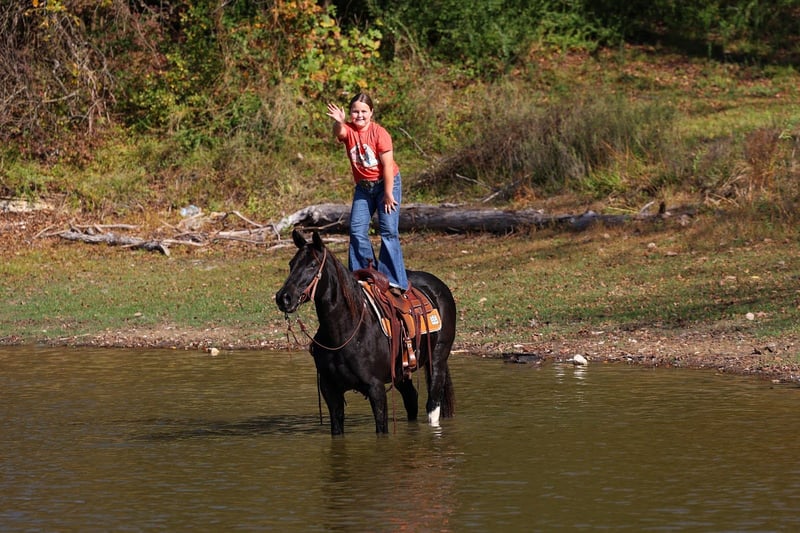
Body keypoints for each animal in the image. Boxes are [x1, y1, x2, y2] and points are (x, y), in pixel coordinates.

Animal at [275, 229, 456, 435]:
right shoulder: (330, 391)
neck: (344, 332)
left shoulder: (375, 388)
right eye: (291, 264)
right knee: (411, 399)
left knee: (433, 404)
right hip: (402, 373)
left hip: (437, 359)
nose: (283, 298)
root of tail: (438, 287)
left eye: (312, 265)